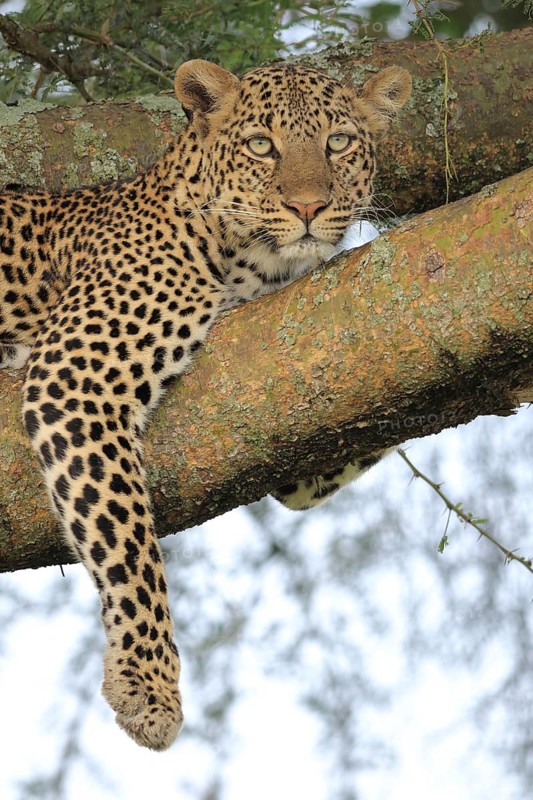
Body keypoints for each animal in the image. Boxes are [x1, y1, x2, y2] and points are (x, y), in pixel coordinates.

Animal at [0, 58, 411, 750]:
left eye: (339, 143)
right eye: (261, 145)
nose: (308, 207)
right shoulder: (73, 374)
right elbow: (127, 538)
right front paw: (148, 685)